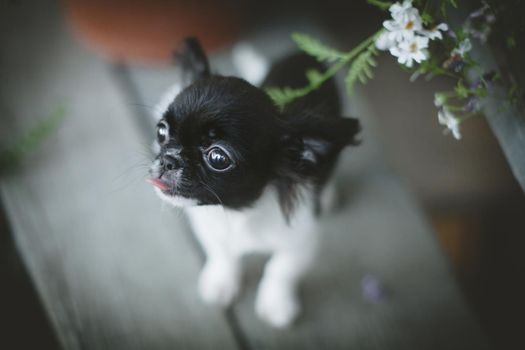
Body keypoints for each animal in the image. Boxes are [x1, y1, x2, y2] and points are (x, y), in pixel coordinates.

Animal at [148, 38, 360, 328]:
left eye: (218, 157)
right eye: (161, 131)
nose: (169, 159)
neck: (236, 211)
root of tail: (301, 56)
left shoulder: (301, 241)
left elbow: (280, 269)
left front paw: (276, 303)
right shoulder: (210, 229)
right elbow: (222, 254)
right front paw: (221, 282)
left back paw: (327, 197)